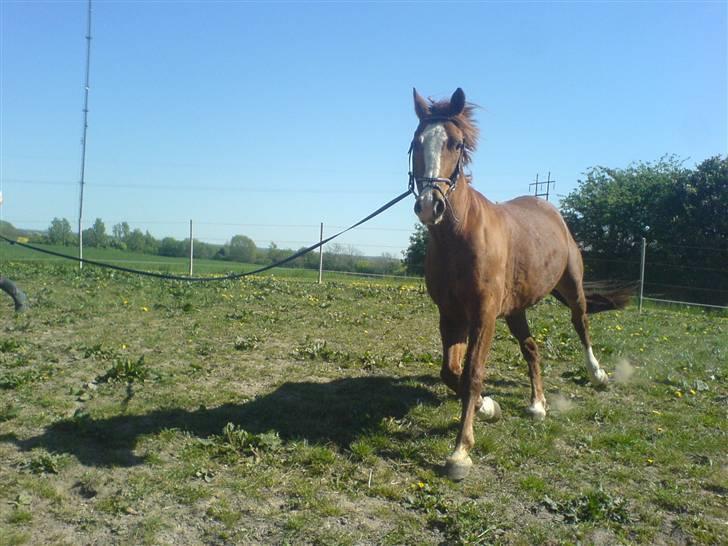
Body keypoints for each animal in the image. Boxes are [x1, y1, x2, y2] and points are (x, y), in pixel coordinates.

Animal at [410, 87, 632, 478]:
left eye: (455, 143)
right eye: (416, 142)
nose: (429, 205)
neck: (460, 237)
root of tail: (550, 210)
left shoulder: (482, 316)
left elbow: (472, 374)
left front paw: (460, 452)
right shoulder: (451, 315)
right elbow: (451, 373)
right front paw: (487, 407)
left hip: (571, 288)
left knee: (581, 324)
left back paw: (598, 375)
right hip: (515, 310)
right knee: (532, 348)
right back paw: (538, 405)